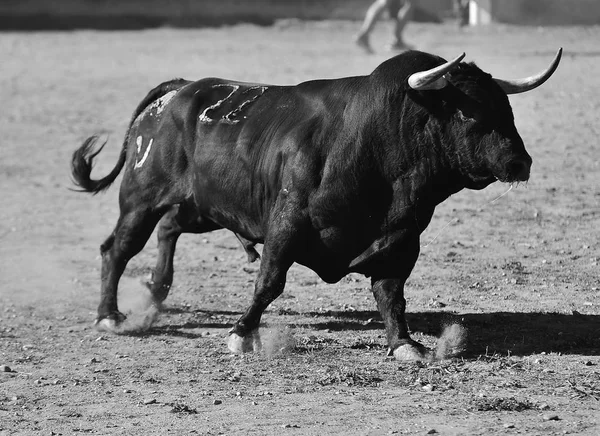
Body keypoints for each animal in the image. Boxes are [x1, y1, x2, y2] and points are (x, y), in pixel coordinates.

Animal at [71, 49, 564, 362]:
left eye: (506, 108)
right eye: (466, 110)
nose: (519, 162)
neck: (376, 141)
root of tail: (178, 90)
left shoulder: (402, 239)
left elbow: (392, 294)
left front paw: (404, 344)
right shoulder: (286, 225)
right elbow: (269, 283)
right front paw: (240, 335)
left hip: (204, 207)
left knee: (170, 227)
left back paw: (157, 289)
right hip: (141, 198)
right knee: (117, 248)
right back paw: (110, 316)